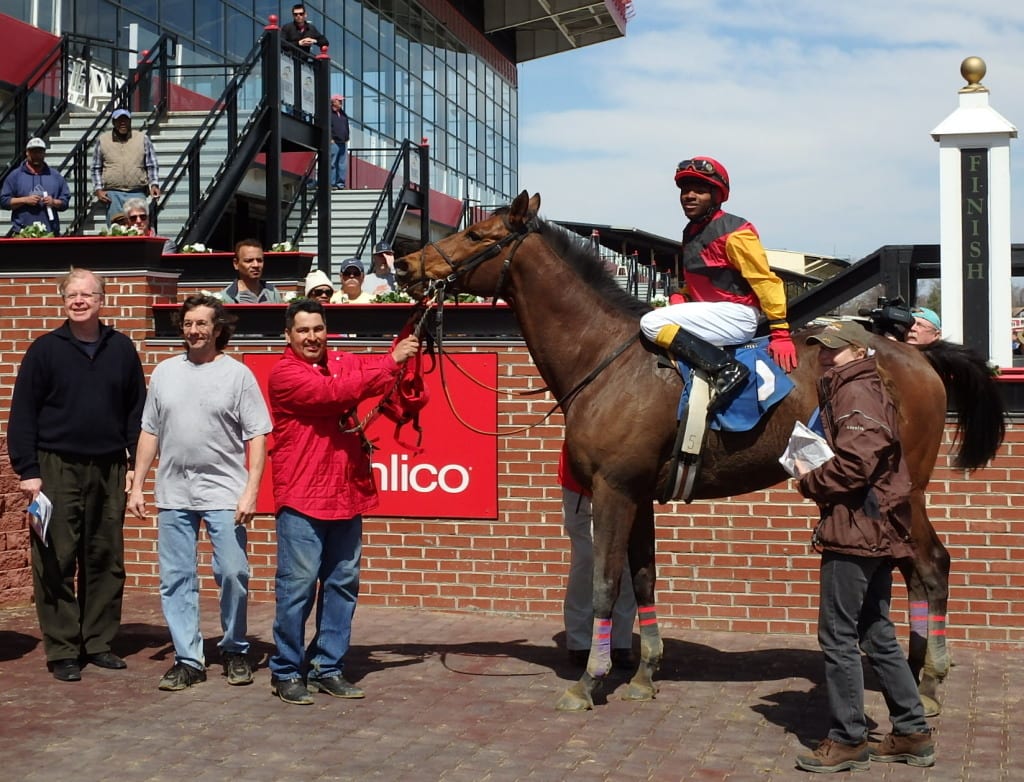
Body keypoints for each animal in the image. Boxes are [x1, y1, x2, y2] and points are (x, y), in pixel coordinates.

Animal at [395, 192, 1003, 712]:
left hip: (905, 488)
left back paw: (931, 682)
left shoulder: (613, 490)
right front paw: (643, 675)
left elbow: (605, 584)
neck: (606, 356)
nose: (404, 263)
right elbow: (642, 578)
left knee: (932, 565)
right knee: (913, 569)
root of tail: (918, 354)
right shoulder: (637, 494)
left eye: (476, 233)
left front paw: (589, 682)